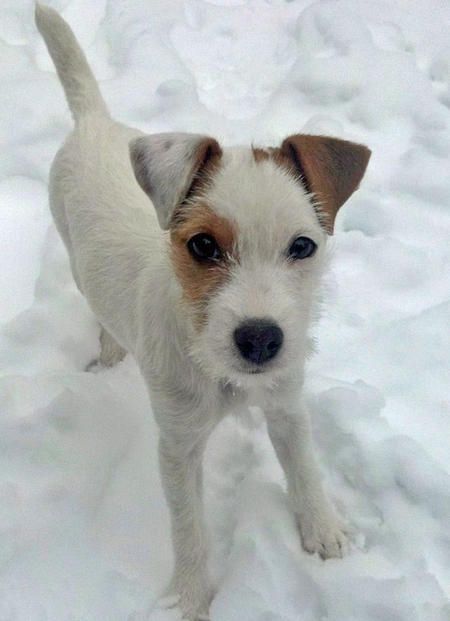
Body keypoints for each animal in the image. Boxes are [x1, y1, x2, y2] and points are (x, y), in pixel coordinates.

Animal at [36, 3, 370, 616]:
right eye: (202, 246)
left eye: (303, 246)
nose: (260, 339)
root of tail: (95, 121)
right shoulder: (178, 447)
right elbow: (188, 530)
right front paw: (189, 599)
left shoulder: (287, 403)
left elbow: (304, 466)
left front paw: (324, 530)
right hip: (73, 256)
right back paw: (110, 351)